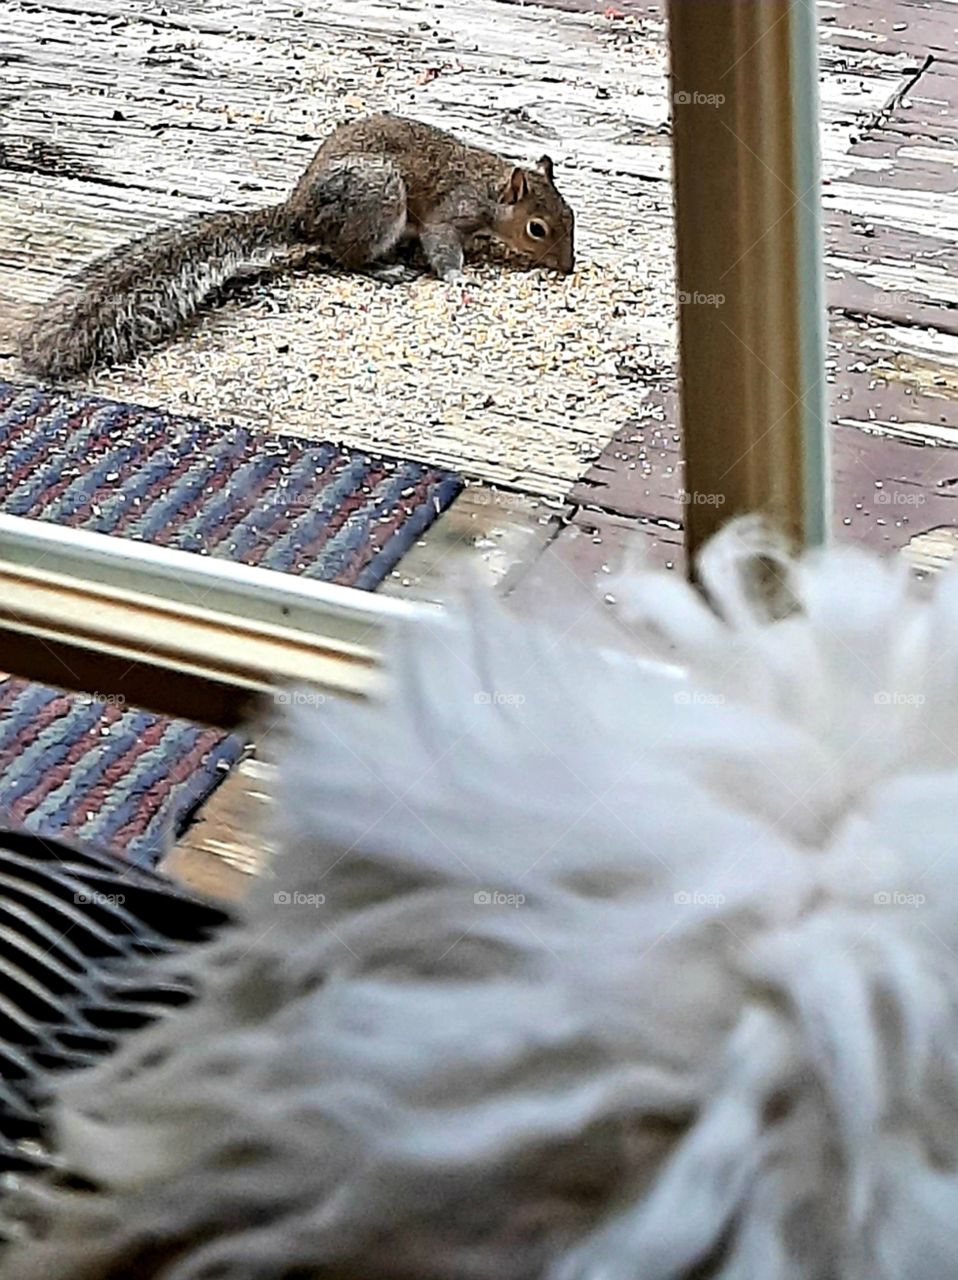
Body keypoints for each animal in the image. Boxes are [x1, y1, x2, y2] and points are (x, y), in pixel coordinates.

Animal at [20, 114, 576, 380]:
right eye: (538, 230)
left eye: (570, 215)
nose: (568, 268)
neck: (491, 187)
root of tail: (301, 214)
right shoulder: (449, 214)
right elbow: (442, 250)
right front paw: (461, 277)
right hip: (379, 201)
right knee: (344, 258)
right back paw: (385, 269)